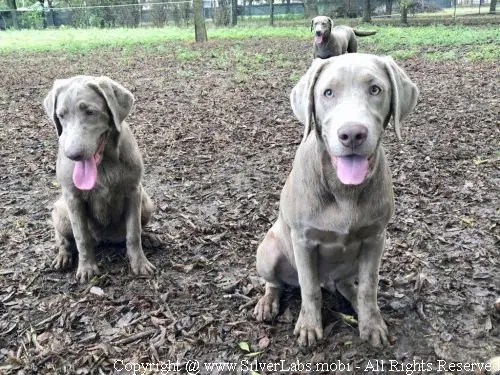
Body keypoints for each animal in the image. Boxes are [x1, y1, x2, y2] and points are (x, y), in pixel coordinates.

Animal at [254, 54, 418, 348]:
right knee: (275, 283)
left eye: (375, 89)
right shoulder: (303, 240)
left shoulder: (375, 238)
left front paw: (371, 323)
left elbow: (369, 287)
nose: (352, 134)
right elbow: (309, 289)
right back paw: (267, 303)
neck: (344, 190)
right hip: (269, 251)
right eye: (328, 92)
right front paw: (309, 327)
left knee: (347, 285)